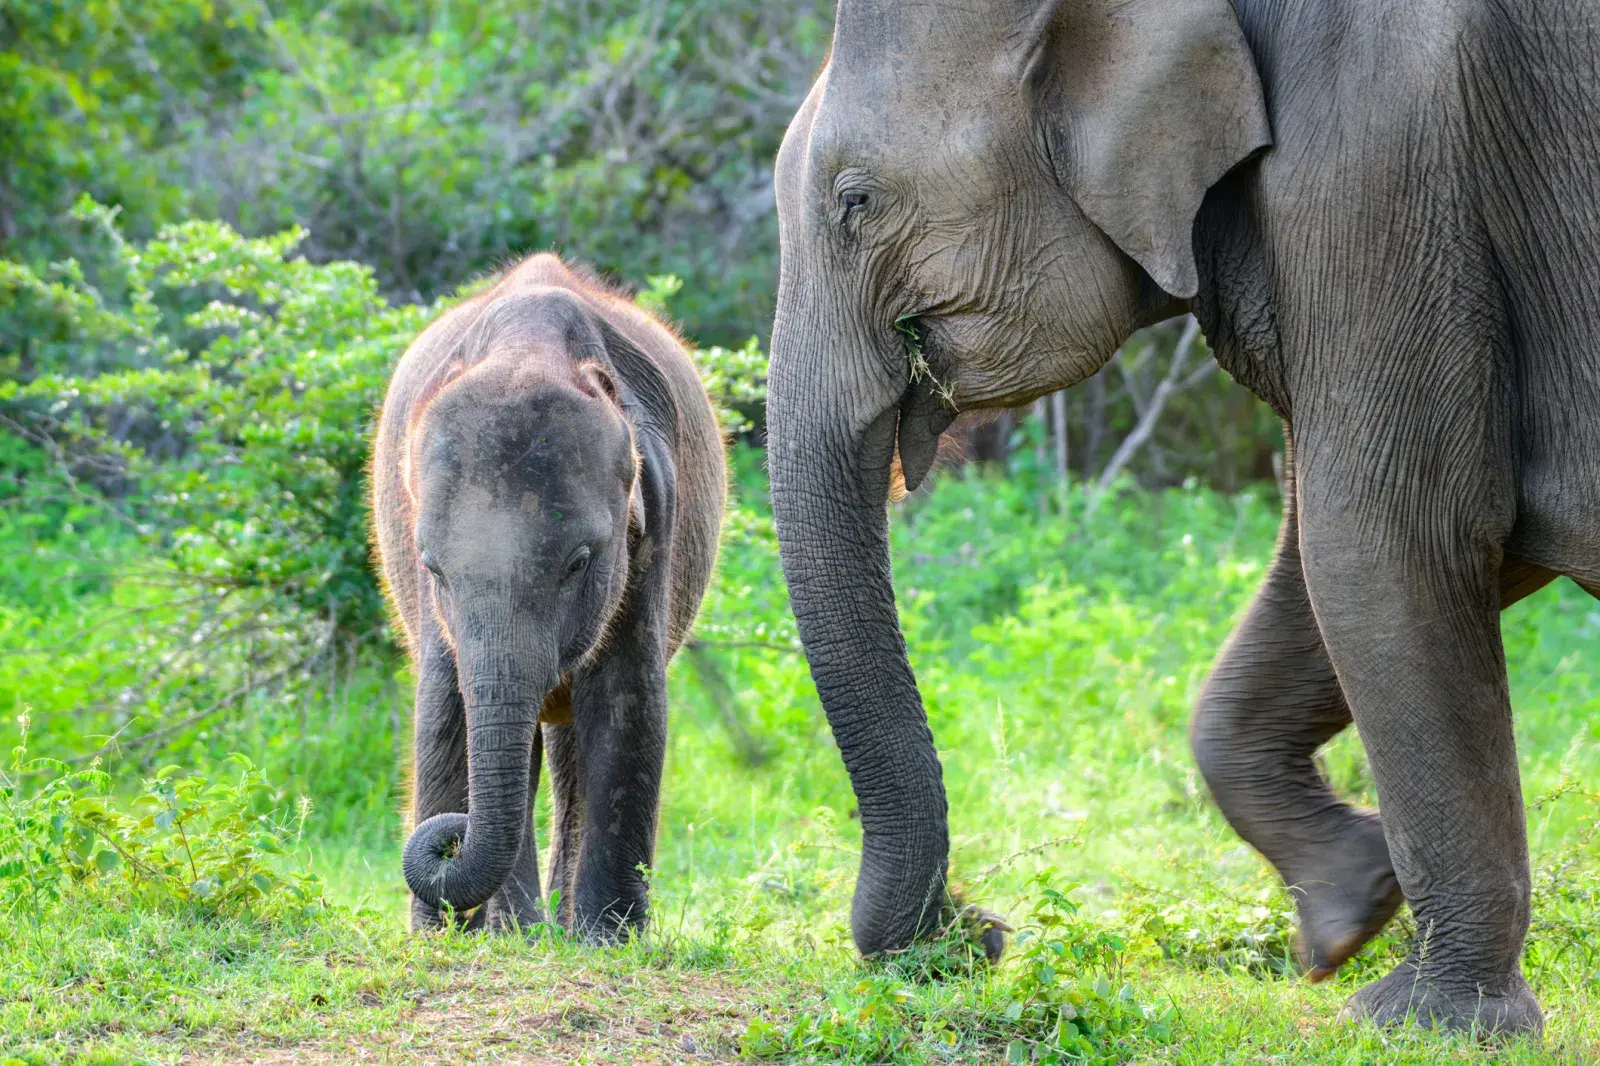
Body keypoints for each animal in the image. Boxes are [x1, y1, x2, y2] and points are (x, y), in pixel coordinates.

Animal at [371, 253, 725, 938]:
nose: (451, 836)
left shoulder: (654, 522)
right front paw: (464, 934)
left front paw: (607, 940)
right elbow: (446, 707)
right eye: (433, 569)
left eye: (579, 563)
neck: (528, 349)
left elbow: (627, 701)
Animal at [765, 0, 1600, 1034]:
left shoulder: (1383, 169)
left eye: (856, 201)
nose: (974, 934)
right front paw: (1345, 917)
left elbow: (1383, 538)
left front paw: (1422, 1020)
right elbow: (1369, 555)